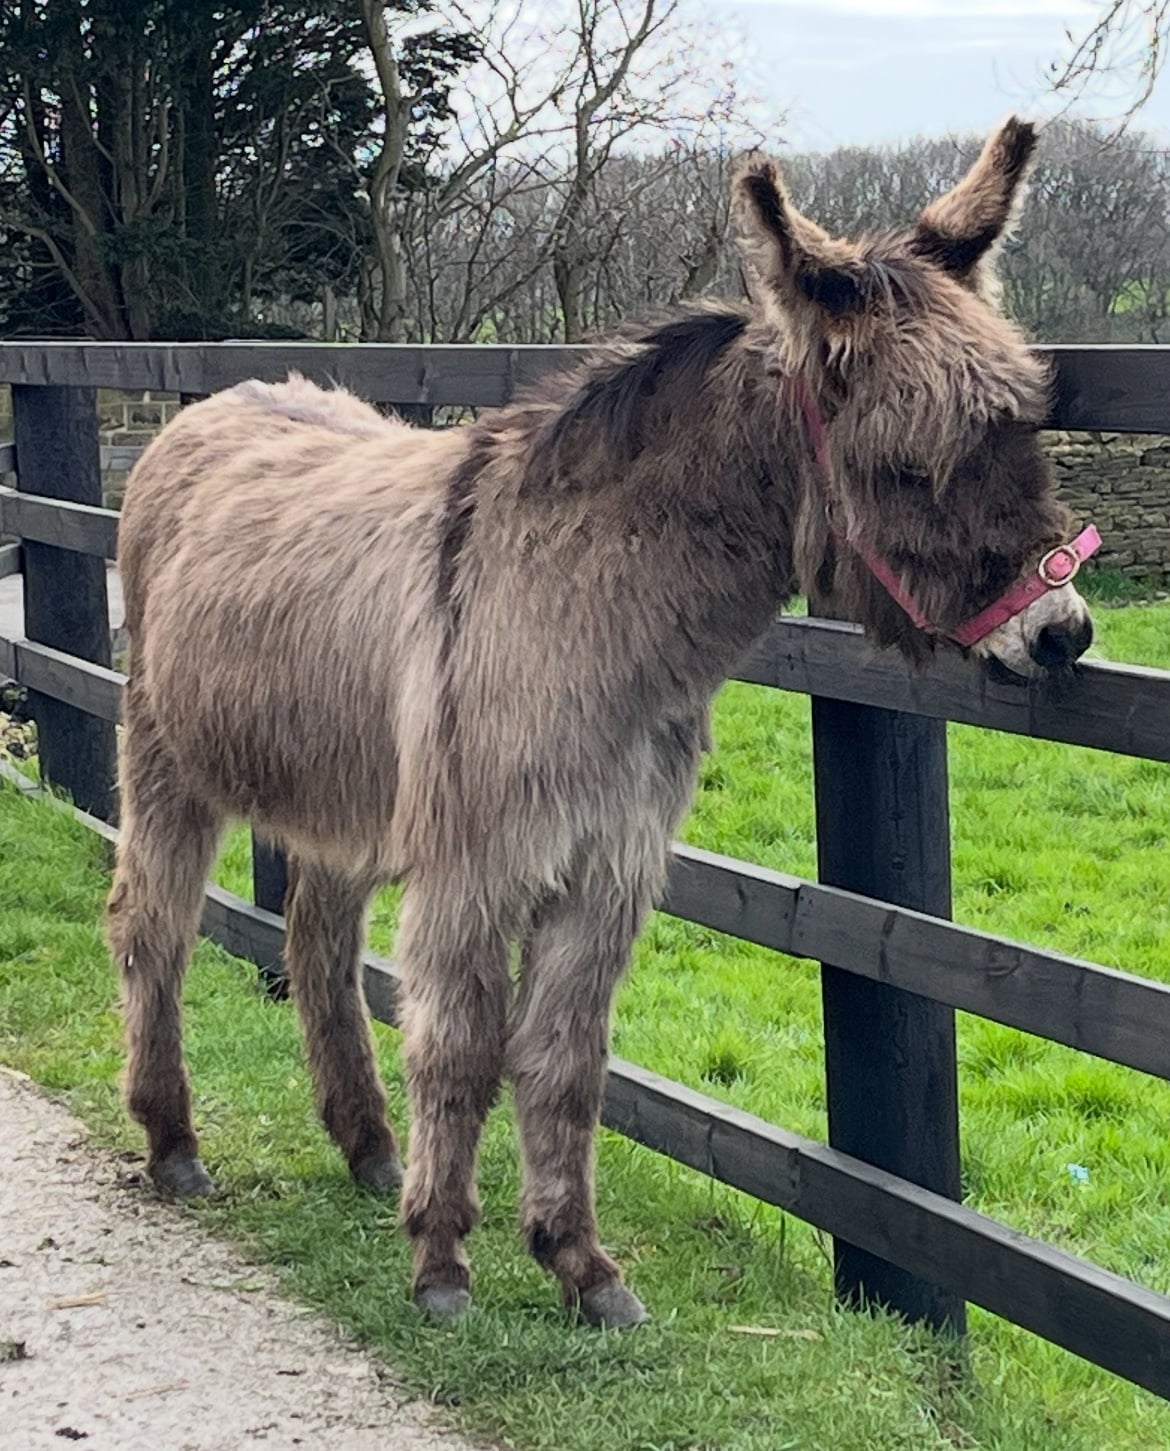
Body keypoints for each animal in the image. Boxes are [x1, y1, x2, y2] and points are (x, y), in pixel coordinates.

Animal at [108, 118, 1095, 1328]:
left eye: (1028, 429)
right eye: (911, 464)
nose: (1062, 631)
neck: (591, 611)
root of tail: (210, 405)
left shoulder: (608, 865)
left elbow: (568, 1058)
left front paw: (579, 1262)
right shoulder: (478, 864)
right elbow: (462, 1047)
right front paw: (443, 1263)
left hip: (343, 784)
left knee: (317, 940)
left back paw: (367, 1145)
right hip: (168, 758)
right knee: (151, 926)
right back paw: (174, 1140)